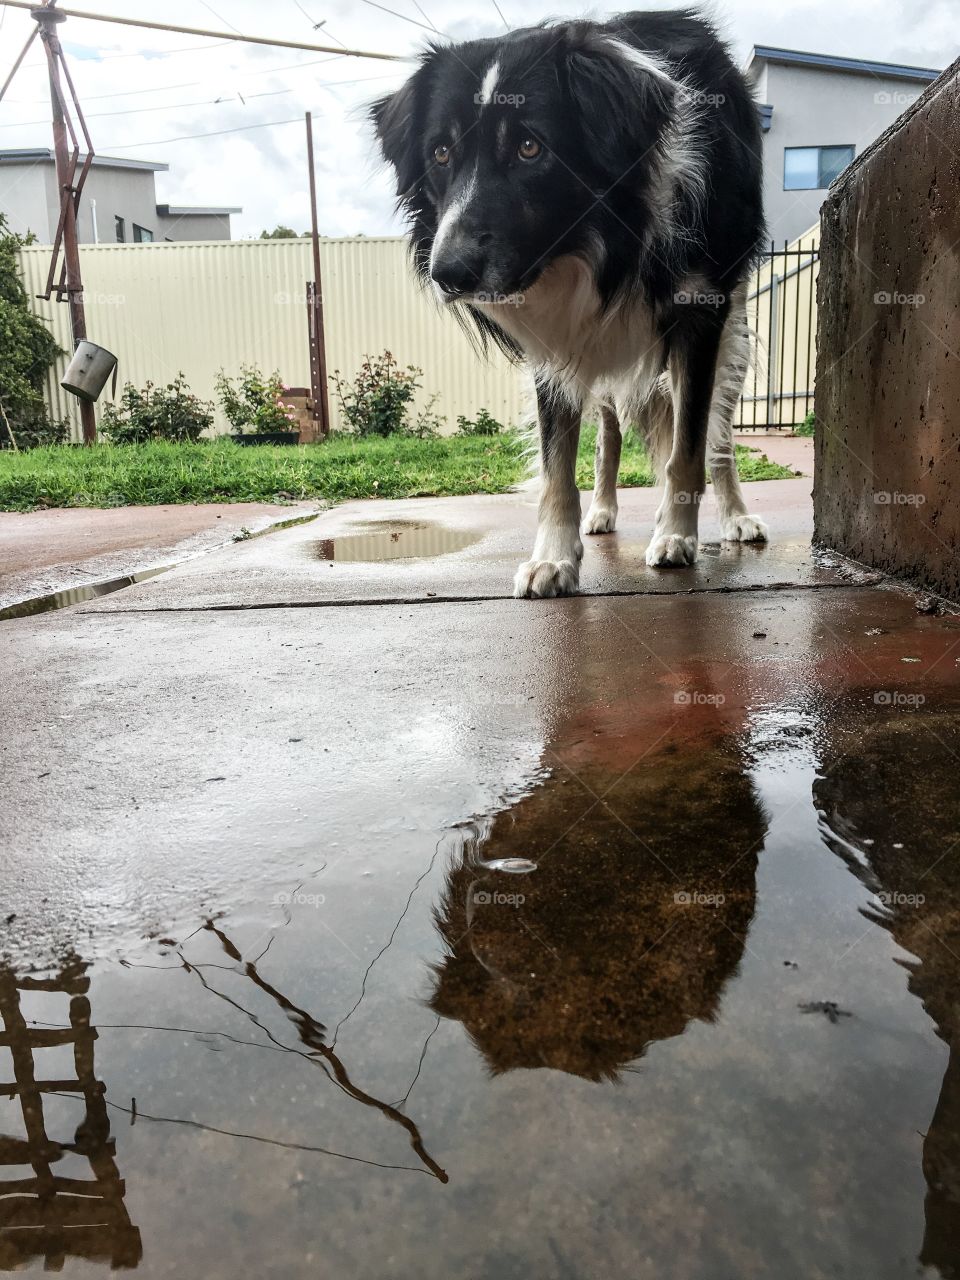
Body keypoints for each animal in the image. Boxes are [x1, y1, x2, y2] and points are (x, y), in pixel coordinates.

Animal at [371, 7, 773, 596]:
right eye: (440, 154)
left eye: (530, 148)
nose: (448, 273)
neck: (597, 246)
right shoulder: (554, 337)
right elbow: (557, 466)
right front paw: (553, 559)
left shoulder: (701, 315)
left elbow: (689, 447)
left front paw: (676, 536)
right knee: (608, 436)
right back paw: (602, 512)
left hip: (733, 330)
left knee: (716, 435)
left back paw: (736, 517)